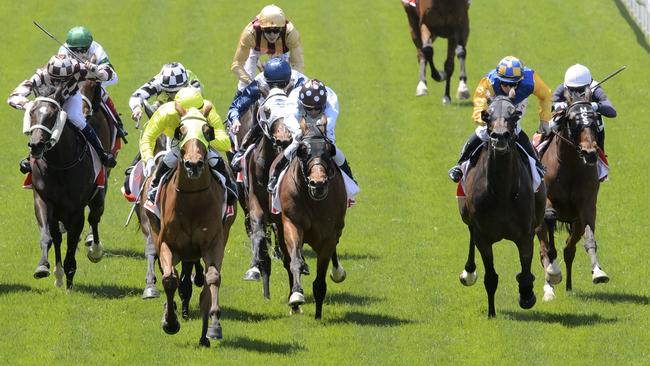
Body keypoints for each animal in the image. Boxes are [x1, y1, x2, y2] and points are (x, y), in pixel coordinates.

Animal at [26, 96, 104, 290]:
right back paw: (58, 274)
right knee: (57, 236)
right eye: (32, 113)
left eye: (52, 116)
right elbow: (48, 236)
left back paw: (95, 251)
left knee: (94, 219)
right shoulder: (43, 200)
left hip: (98, 200)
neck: (60, 164)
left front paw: (69, 281)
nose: (35, 145)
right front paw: (43, 267)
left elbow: (72, 242)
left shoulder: (76, 211)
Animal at [142, 101, 235, 348]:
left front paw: (213, 326)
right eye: (180, 131)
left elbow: (212, 279)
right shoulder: (167, 243)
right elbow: (169, 279)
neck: (192, 201)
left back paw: (205, 334)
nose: (194, 165)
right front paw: (170, 322)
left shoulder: (214, 243)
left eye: (208, 131)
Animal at [274, 117, 346, 318]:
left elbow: (320, 278)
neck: (313, 201)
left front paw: (318, 315)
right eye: (302, 150)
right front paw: (296, 295)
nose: (318, 183)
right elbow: (295, 261)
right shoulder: (292, 223)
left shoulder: (329, 235)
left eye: (329, 150)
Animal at [458, 96, 544, 318]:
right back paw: (468, 272)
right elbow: (490, 277)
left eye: (514, 115)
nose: (500, 136)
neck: (502, 193)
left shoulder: (525, 234)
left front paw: (527, 295)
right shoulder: (483, 237)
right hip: (466, 215)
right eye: (486, 115)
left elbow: (525, 272)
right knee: (470, 232)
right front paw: (491, 313)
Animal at [536, 88, 604, 300]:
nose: (590, 152)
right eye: (573, 120)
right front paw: (552, 272)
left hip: (575, 223)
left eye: (593, 119)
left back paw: (567, 285)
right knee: (543, 250)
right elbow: (549, 218)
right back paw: (549, 286)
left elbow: (589, 236)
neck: (570, 165)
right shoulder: (547, 200)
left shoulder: (587, 205)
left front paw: (598, 272)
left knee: (569, 248)